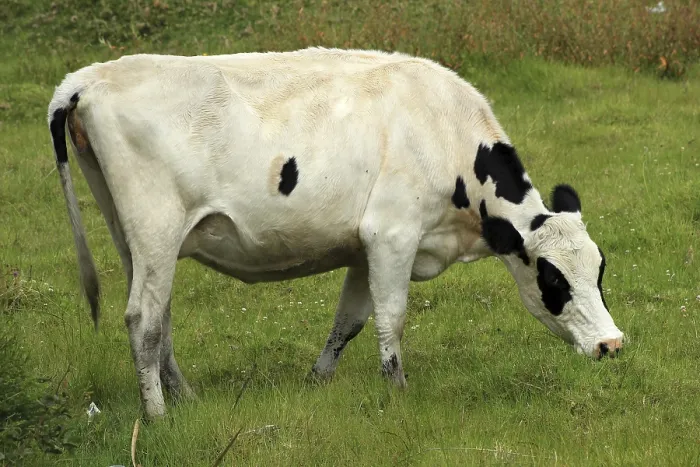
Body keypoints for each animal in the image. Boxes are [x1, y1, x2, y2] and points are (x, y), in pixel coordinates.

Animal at [48, 47, 624, 419]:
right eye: (553, 279)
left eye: (599, 271)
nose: (612, 344)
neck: (445, 132)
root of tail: (88, 77)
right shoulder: (392, 234)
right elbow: (392, 319)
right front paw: (397, 392)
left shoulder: (365, 249)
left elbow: (349, 322)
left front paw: (317, 382)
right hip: (157, 228)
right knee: (143, 321)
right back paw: (158, 415)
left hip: (135, 239)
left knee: (159, 315)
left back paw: (185, 399)